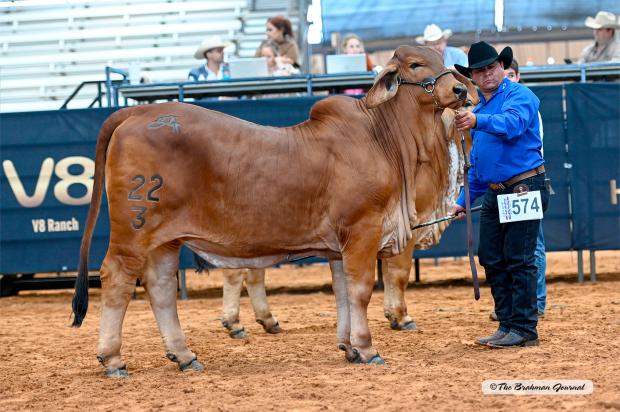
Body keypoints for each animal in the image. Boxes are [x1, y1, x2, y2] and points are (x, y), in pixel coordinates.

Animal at [74, 45, 480, 376]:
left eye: (441, 59)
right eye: (415, 64)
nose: (461, 91)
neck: (383, 138)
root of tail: (136, 112)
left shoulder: (338, 247)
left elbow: (343, 293)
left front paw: (348, 346)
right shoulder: (362, 230)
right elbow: (363, 289)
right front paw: (367, 348)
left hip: (165, 240)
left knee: (159, 287)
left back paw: (184, 355)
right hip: (133, 230)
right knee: (117, 278)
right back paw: (112, 358)